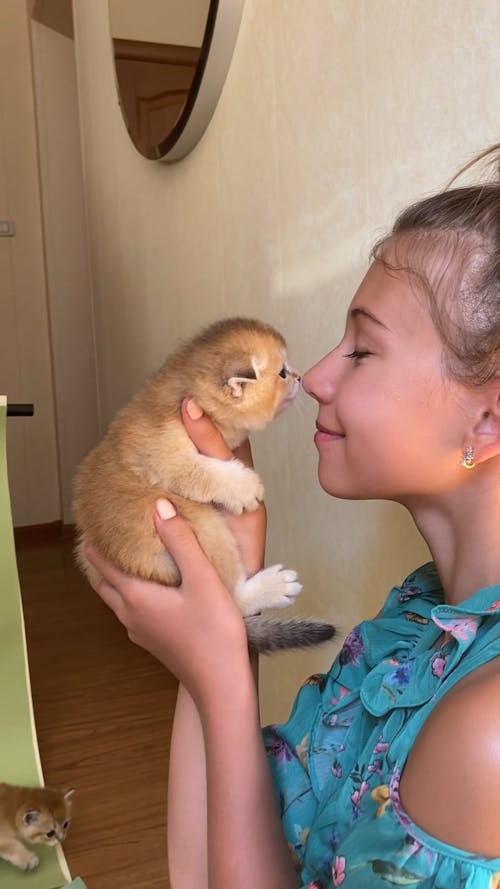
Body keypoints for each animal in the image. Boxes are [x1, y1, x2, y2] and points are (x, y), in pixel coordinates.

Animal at [73, 320, 336, 652]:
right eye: (282, 373)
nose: (300, 377)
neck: (183, 389)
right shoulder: (163, 455)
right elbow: (200, 472)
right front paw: (243, 487)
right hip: (201, 524)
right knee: (233, 601)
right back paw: (271, 588)